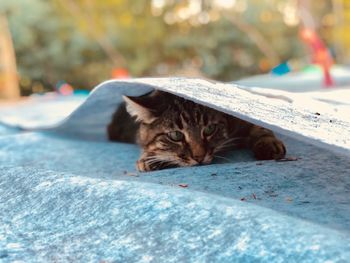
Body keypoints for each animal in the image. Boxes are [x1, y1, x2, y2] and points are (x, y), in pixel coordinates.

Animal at [108, 90, 286, 173]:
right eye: (175, 135)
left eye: (209, 129)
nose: (199, 158)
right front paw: (148, 158)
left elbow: (261, 127)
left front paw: (269, 144)